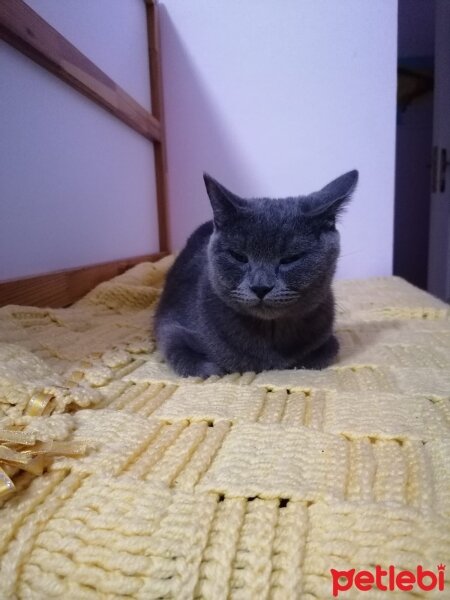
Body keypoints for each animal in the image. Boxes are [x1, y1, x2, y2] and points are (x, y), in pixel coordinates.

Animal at [155, 169, 358, 378]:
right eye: (238, 256)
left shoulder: (328, 338)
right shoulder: (171, 328)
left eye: (290, 258)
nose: (261, 287)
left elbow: (323, 354)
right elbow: (196, 363)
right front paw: (217, 368)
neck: (270, 331)